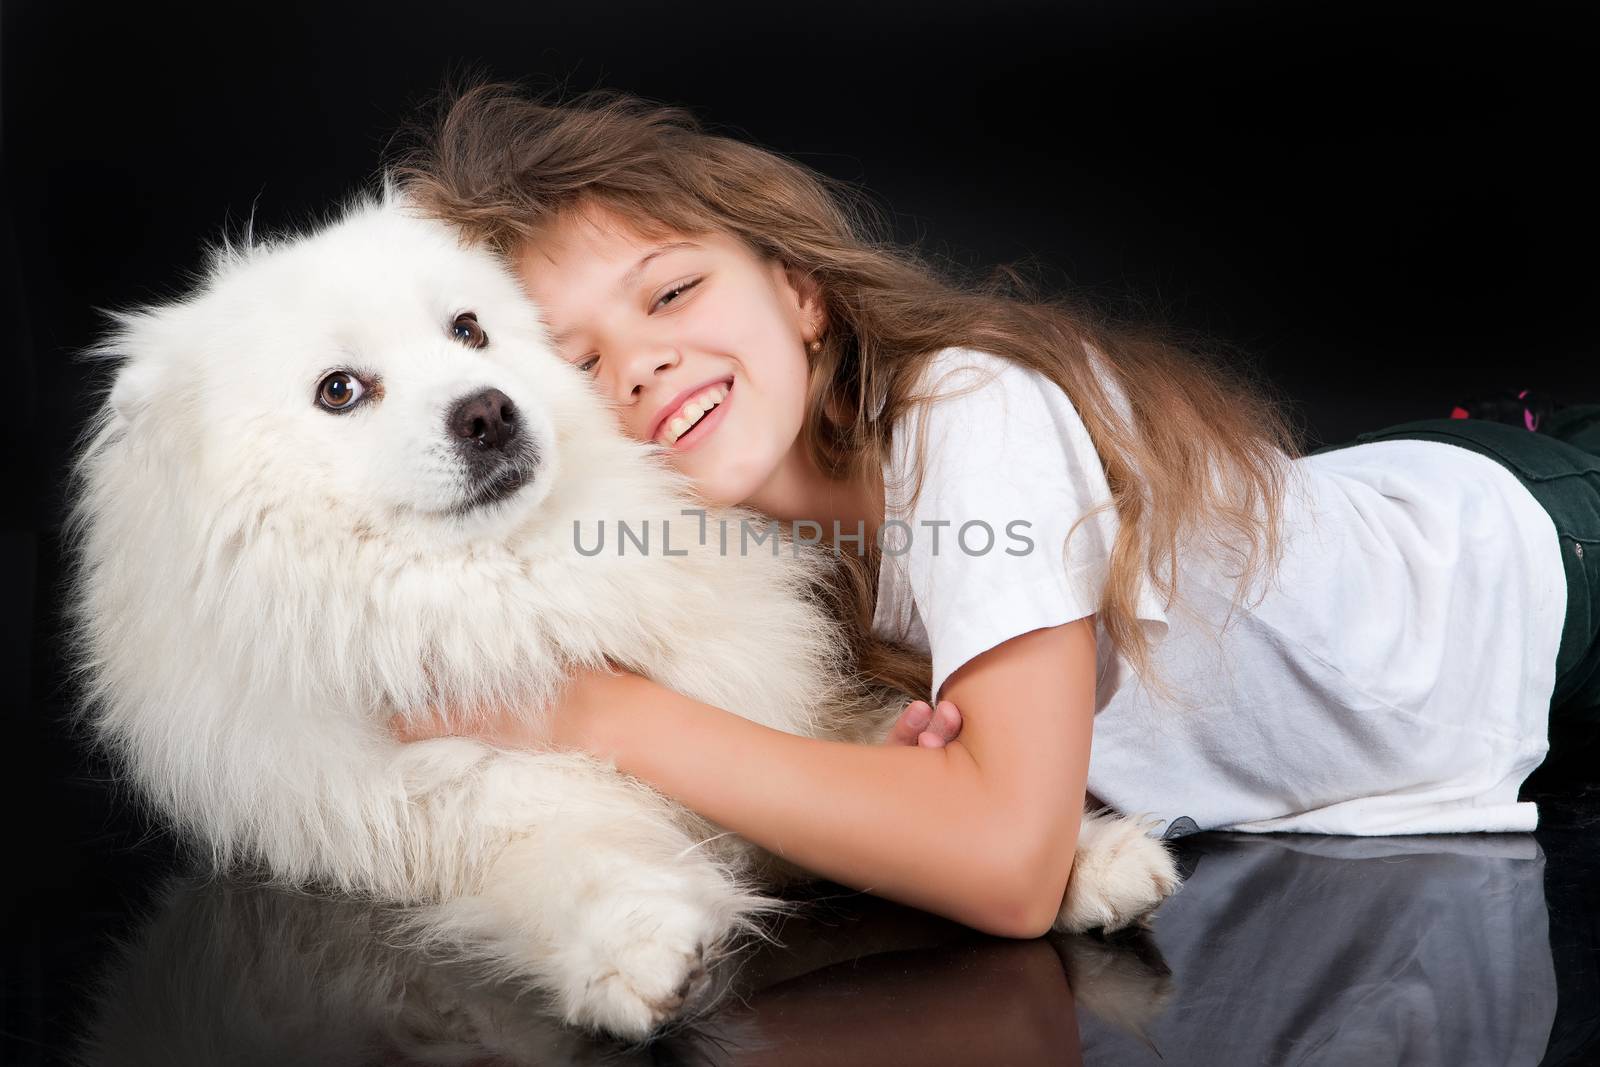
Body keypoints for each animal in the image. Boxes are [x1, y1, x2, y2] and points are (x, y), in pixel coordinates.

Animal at [62, 187, 1184, 1036]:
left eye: (468, 329)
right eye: (340, 390)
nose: (486, 410)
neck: (521, 585)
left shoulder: (767, 707)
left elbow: (880, 768)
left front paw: (1092, 852)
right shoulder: (461, 812)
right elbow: (577, 857)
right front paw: (642, 948)